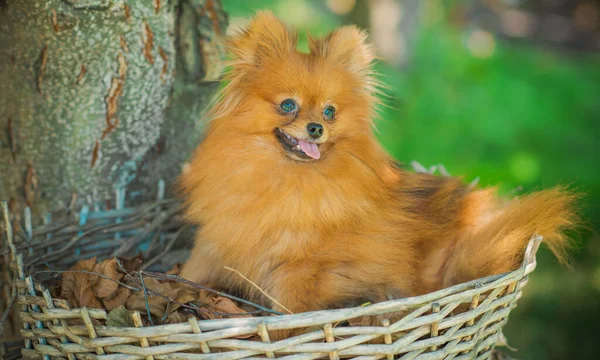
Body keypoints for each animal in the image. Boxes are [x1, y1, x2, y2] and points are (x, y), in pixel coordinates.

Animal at [179, 10, 580, 316]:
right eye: (288, 105)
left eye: (330, 111)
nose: (317, 128)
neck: (286, 178)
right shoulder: (215, 244)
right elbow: (191, 268)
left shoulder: (301, 270)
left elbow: (290, 310)